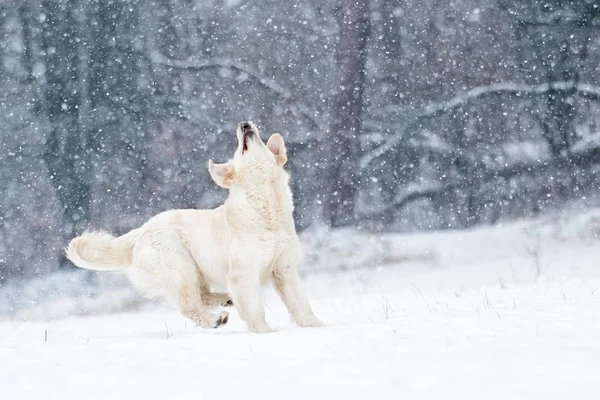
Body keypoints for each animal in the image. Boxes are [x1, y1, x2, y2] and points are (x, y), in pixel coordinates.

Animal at [65, 120, 324, 332]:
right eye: (237, 149)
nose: (244, 123)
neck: (266, 207)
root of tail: (140, 231)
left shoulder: (285, 269)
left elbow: (300, 303)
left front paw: (316, 325)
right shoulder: (243, 273)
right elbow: (254, 309)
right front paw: (265, 332)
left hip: (194, 270)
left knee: (202, 295)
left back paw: (226, 299)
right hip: (181, 268)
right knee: (189, 305)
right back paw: (215, 319)